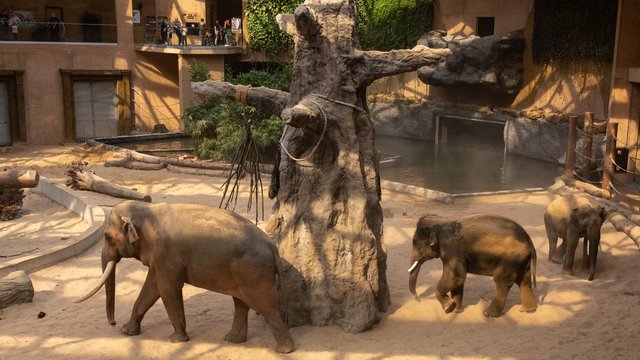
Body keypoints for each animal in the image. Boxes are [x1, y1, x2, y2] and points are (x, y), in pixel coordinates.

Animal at [74, 201, 296, 352]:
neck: (149, 211)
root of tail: (272, 246)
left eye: (108, 237)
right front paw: (126, 332)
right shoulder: (159, 259)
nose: (112, 323)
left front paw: (176, 340)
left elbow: (167, 289)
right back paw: (232, 340)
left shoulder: (166, 256)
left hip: (254, 273)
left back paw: (285, 350)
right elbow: (151, 288)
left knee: (266, 306)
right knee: (241, 303)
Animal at [408, 214, 536, 318]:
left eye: (415, 243)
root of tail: (530, 242)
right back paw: (528, 310)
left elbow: (455, 277)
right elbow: (458, 280)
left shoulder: (452, 250)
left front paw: (449, 307)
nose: (418, 299)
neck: (441, 221)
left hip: (510, 260)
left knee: (502, 281)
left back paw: (488, 314)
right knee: (524, 280)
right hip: (521, 261)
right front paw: (457, 311)